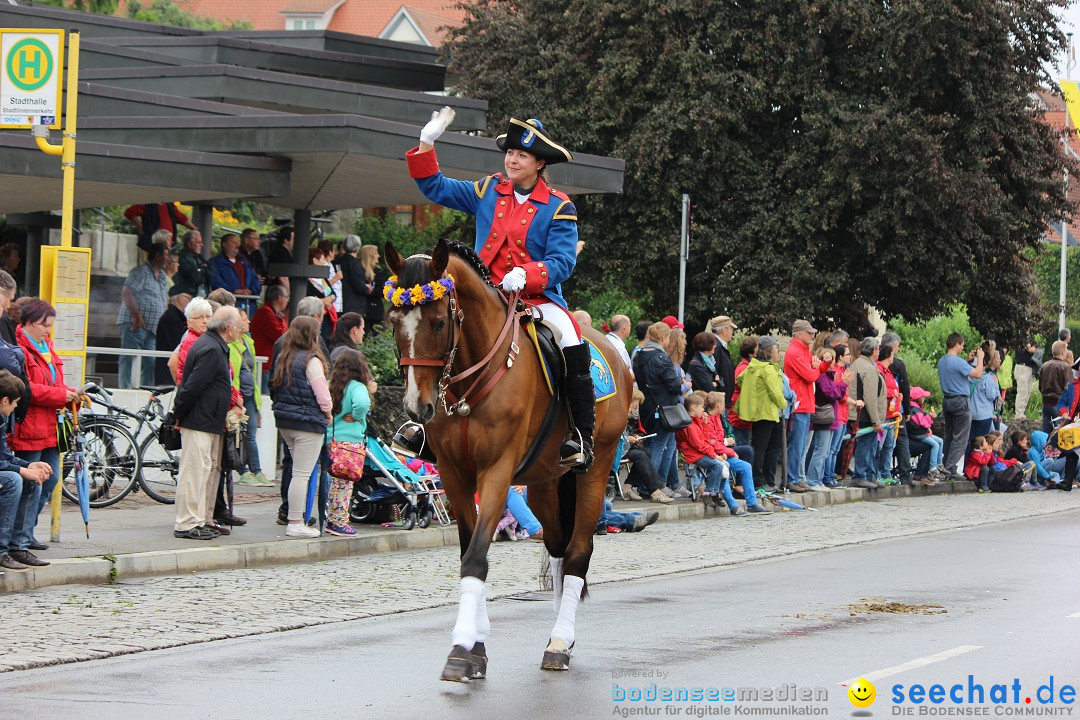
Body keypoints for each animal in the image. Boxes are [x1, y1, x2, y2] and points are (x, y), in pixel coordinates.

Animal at [384, 240, 630, 682]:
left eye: (438, 322)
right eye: (395, 320)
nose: (417, 406)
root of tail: (614, 354)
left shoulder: (496, 471)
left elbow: (477, 557)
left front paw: (461, 649)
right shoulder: (455, 475)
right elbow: (468, 553)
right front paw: (475, 648)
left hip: (595, 469)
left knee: (577, 553)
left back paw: (559, 642)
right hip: (544, 482)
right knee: (557, 547)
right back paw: (561, 636)